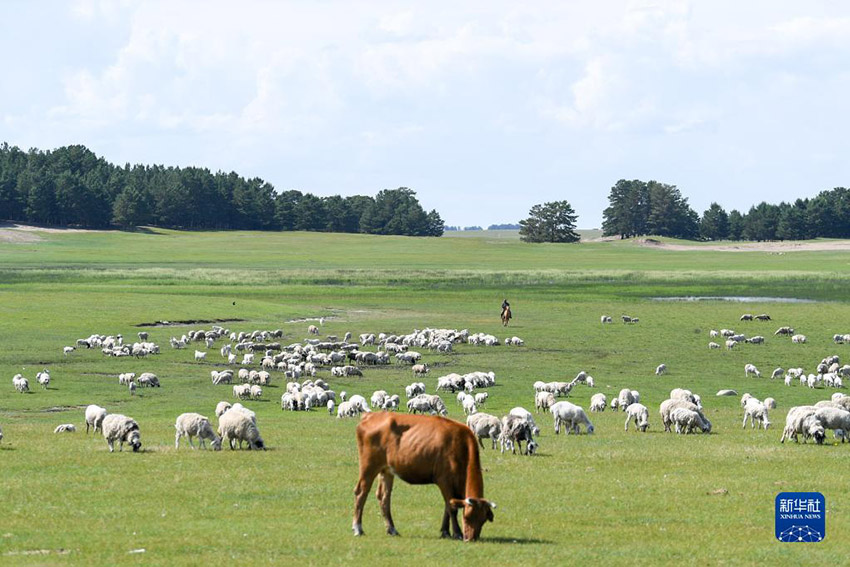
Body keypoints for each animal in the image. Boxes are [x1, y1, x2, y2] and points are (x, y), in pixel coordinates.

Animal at [352, 412, 496, 540]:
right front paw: (457, 533)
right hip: (369, 466)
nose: (471, 538)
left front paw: (445, 532)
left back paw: (392, 529)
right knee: (361, 492)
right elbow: (451, 508)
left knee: (384, 497)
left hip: (386, 470)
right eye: (467, 516)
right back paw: (358, 528)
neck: (461, 445)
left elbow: (447, 507)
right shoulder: (444, 481)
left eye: (483, 519)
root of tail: (371, 415)